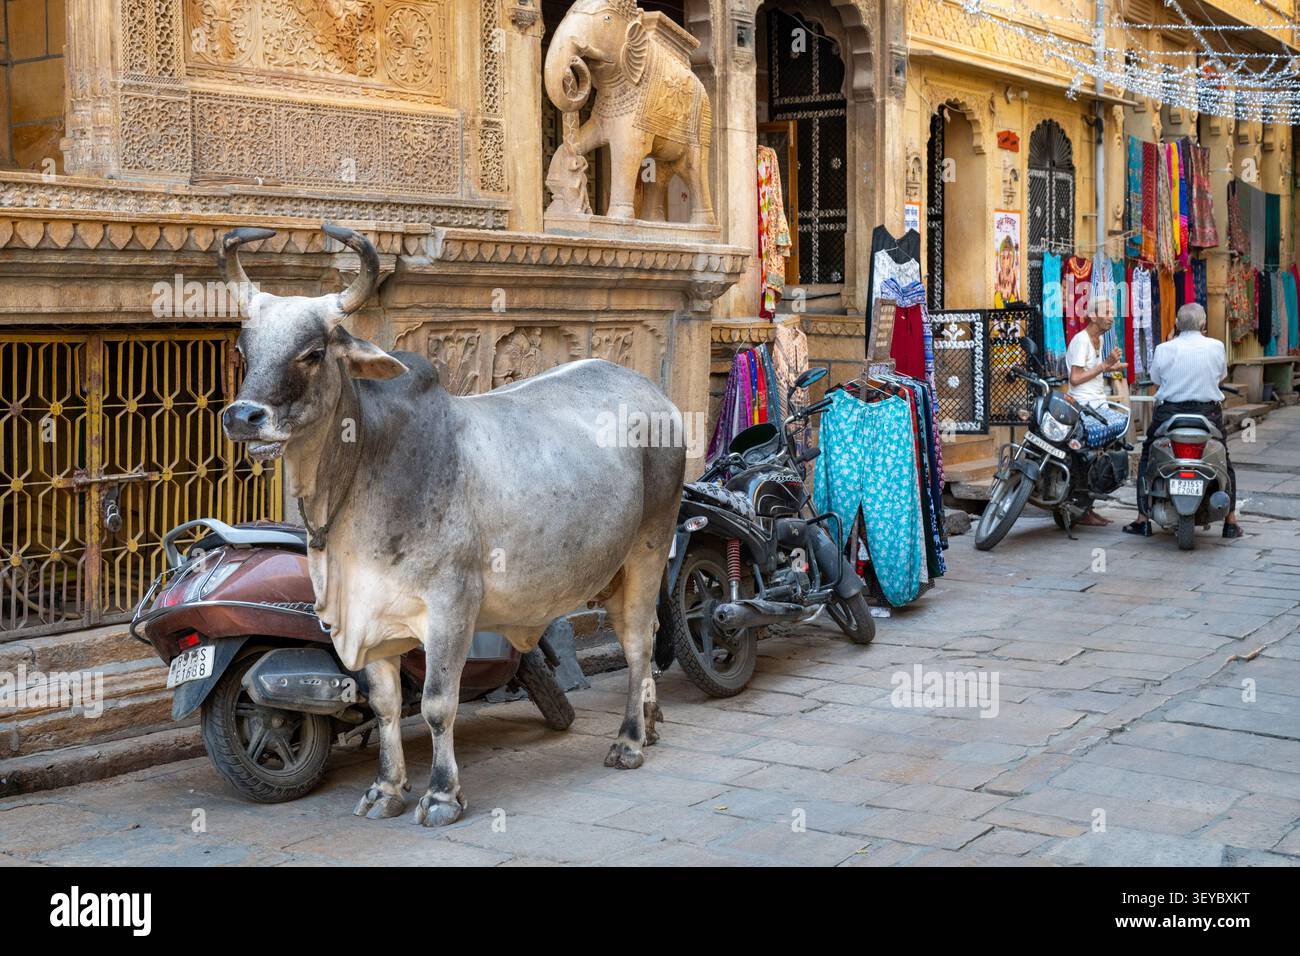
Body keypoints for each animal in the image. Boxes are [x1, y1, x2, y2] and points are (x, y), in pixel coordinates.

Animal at [219, 224, 685, 826]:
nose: (242, 416)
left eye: (314, 352)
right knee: (643, 637)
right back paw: (649, 724)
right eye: (243, 350)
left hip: (649, 547)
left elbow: (438, 705)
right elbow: (387, 706)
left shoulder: (451, 606)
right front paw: (386, 789)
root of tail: (654, 394)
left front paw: (441, 794)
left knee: (635, 640)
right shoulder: (372, 619)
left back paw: (628, 740)